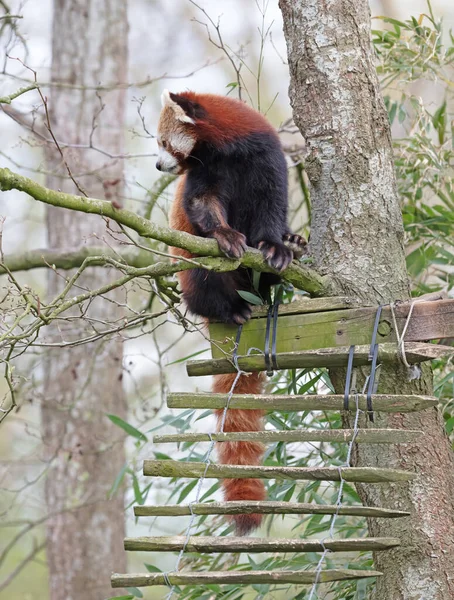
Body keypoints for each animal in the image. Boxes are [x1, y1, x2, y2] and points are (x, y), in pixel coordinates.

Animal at [156, 90, 306, 536]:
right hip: (193, 269)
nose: (158, 166)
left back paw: (291, 249)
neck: (229, 153)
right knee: (202, 282)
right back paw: (232, 308)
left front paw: (276, 245)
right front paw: (226, 235)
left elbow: (271, 210)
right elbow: (202, 205)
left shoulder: (268, 163)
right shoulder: (203, 178)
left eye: (165, 144)